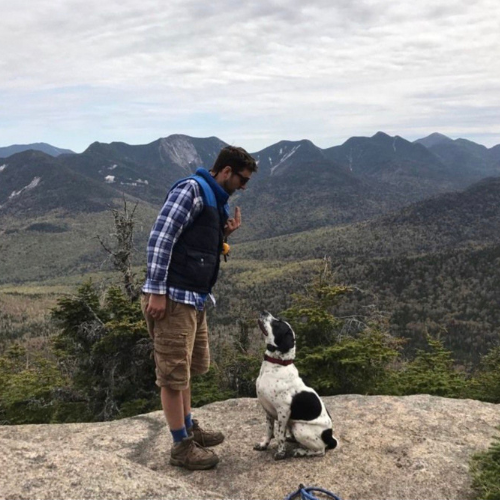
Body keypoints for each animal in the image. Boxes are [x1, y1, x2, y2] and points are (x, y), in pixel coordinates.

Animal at [254, 312, 340, 460]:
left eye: (277, 324)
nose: (264, 311)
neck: (277, 364)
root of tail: (330, 437)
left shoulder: (283, 410)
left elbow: (279, 435)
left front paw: (280, 453)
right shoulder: (268, 410)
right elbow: (269, 431)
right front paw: (264, 445)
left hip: (299, 427)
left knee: (320, 450)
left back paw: (300, 451)